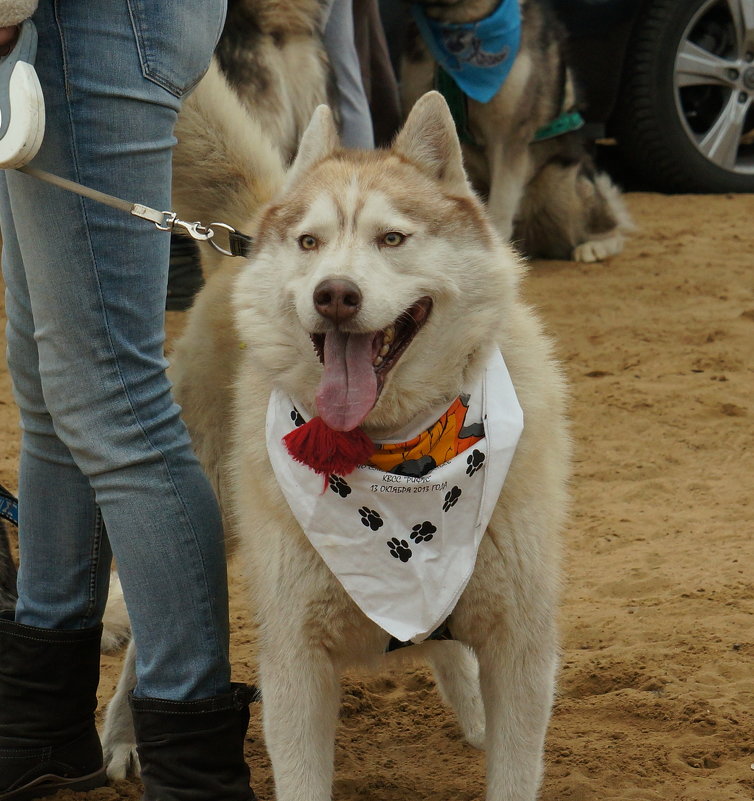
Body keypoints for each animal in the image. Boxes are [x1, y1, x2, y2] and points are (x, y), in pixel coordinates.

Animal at [103, 83, 568, 800]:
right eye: (310, 242)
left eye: (392, 237)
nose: (335, 294)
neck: (394, 450)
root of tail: (248, 226)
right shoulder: (296, 661)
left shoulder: (521, 645)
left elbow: (512, 767)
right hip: (206, 514)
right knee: (151, 641)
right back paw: (126, 735)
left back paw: (472, 714)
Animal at [400, 0, 628, 262]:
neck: (459, 18)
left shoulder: (508, 136)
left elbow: (499, 209)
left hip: (562, 181)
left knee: (610, 226)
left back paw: (596, 245)